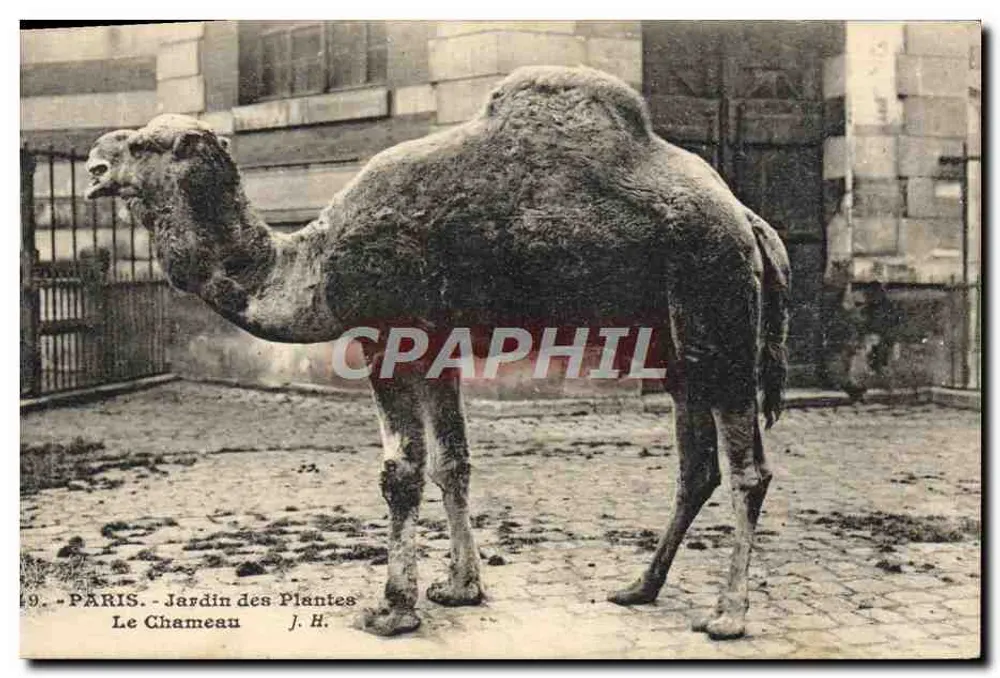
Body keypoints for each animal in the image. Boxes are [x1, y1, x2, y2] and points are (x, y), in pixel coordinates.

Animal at [85, 65, 790, 640]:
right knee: (696, 466)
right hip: (681, 345)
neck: (306, 263)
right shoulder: (437, 348)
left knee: (746, 470)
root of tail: (751, 223)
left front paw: (393, 609)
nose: (94, 161)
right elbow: (453, 462)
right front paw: (459, 588)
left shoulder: (387, 336)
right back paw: (640, 587)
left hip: (717, 305)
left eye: (143, 144)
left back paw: (727, 615)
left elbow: (400, 471)